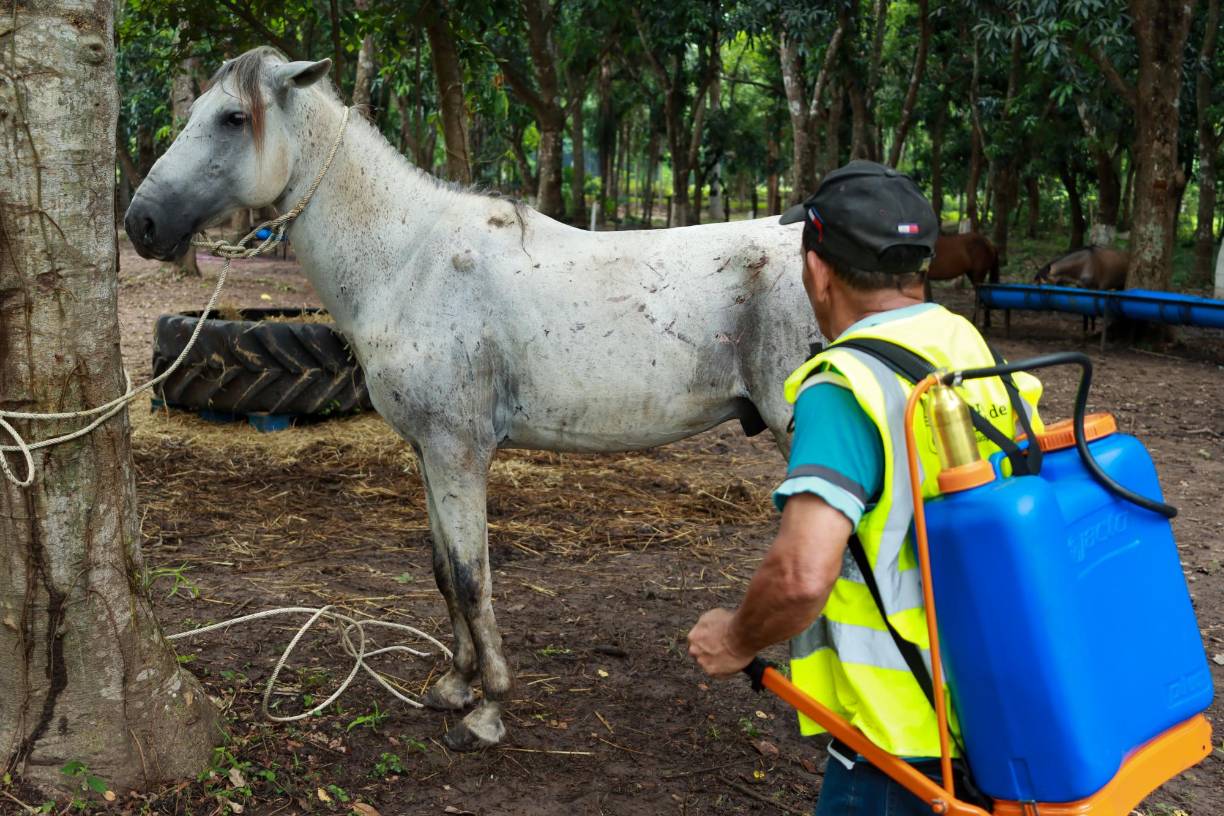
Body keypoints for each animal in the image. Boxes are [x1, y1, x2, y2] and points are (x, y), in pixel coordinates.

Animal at [124, 48, 818, 751]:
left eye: (234, 118)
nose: (141, 222)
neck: (409, 262)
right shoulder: (427, 453)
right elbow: (441, 571)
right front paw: (456, 686)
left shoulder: (458, 453)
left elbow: (470, 575)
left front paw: (488, 711)